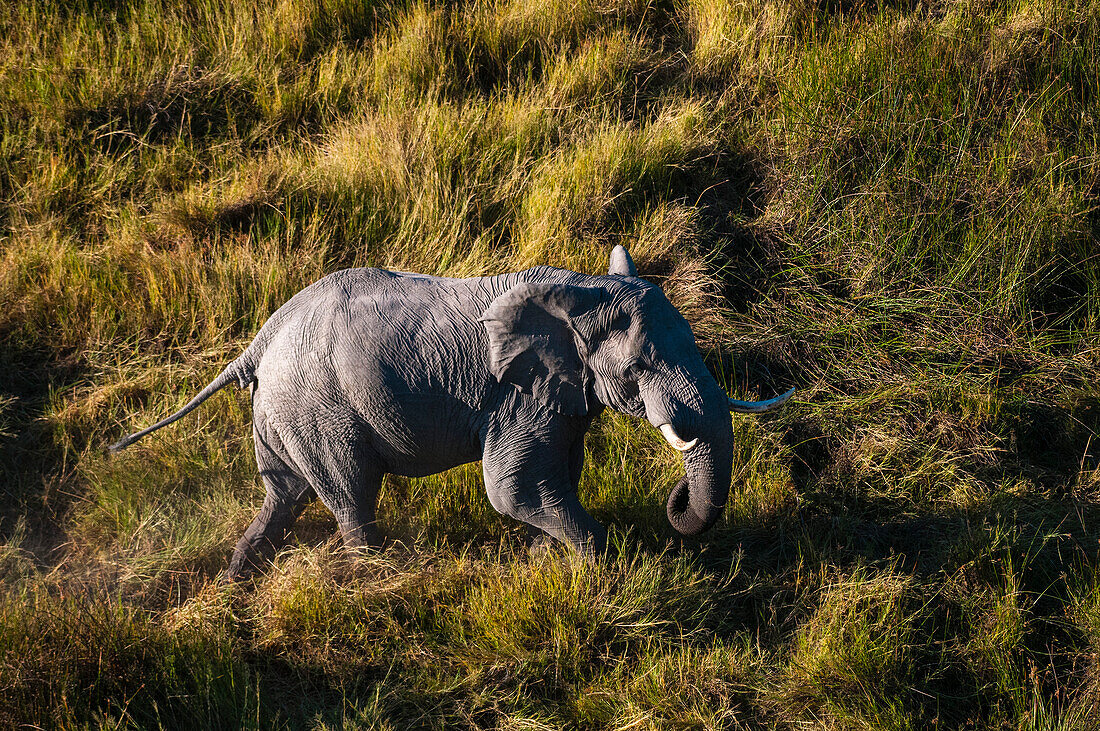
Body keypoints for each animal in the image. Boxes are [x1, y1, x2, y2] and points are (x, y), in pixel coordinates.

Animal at [109, 248, 792, 580]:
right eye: (643, 363)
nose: (674, 500)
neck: (578, 291)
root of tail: (258, 342)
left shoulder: (561, 393)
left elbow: (553, 476)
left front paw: (551, 560)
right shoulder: (520, 391)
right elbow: (513, 487)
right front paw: (603, 567)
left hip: (284, 414)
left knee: (286, 496)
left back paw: (234, 583)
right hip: (317, 408)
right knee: (351, 492)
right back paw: (378, 576)